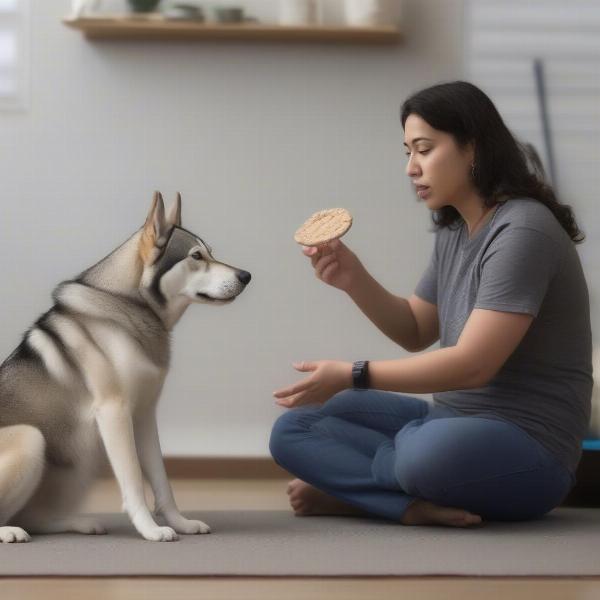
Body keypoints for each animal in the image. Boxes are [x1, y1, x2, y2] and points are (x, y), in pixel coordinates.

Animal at [0, 192, 251, 544]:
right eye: (196, 256)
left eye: (211, 253)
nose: (246, 276)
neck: (128, 304)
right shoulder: (114, 412)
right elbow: (132, 479)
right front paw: (150, 529)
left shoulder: (144, 415)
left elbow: (162, 481)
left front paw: (180, 523)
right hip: (31, 438)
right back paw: (9, 530)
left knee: (34, 518)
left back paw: (78, 523)